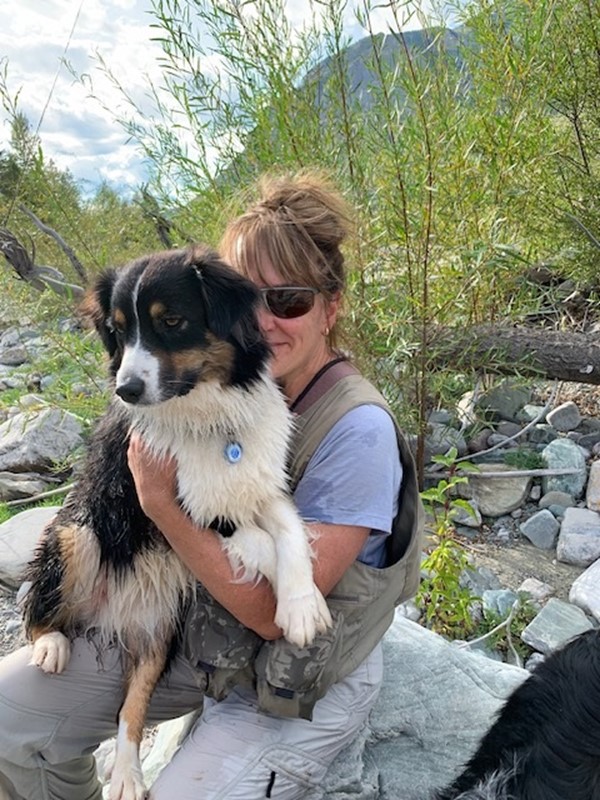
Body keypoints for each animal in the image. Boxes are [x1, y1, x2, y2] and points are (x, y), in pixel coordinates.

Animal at [23, 247, 330, 800]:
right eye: (118, 331)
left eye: (171, 321)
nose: (126, 389)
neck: (206, 416)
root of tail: (111, 616)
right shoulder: (187, 510)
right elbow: (259, 542)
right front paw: (300, 601)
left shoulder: (257, 486)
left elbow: (291, 531)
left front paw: (303, 603)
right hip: (79, 535)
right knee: (38, 608)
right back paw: (51, 644)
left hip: (162, 622)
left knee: (132, 704)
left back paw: (126, 774)